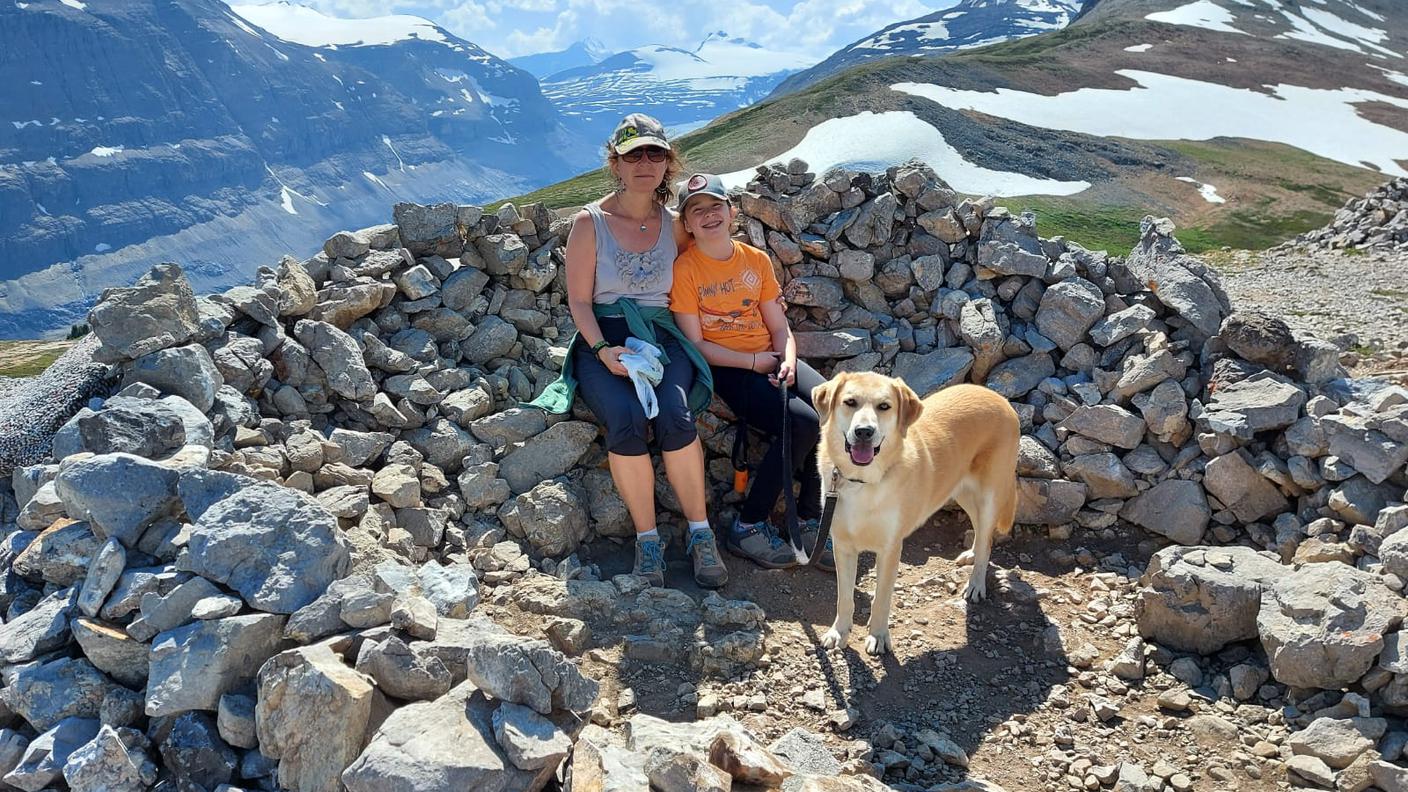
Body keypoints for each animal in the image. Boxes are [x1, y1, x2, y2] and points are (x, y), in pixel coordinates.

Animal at [811, 372, 1019, 653]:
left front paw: (878, 635)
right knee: (979, 530)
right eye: (850, 402)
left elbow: (882, 598)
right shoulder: (843, 547)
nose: (864, 432)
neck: (862, 482)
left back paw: (976, 583)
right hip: (961, 491)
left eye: (884, 406)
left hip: (989, 496)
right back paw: (972, 554)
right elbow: (844, 598)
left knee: (987, 540)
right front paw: (839, 632)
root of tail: (1001, 399)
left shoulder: (890, 550)